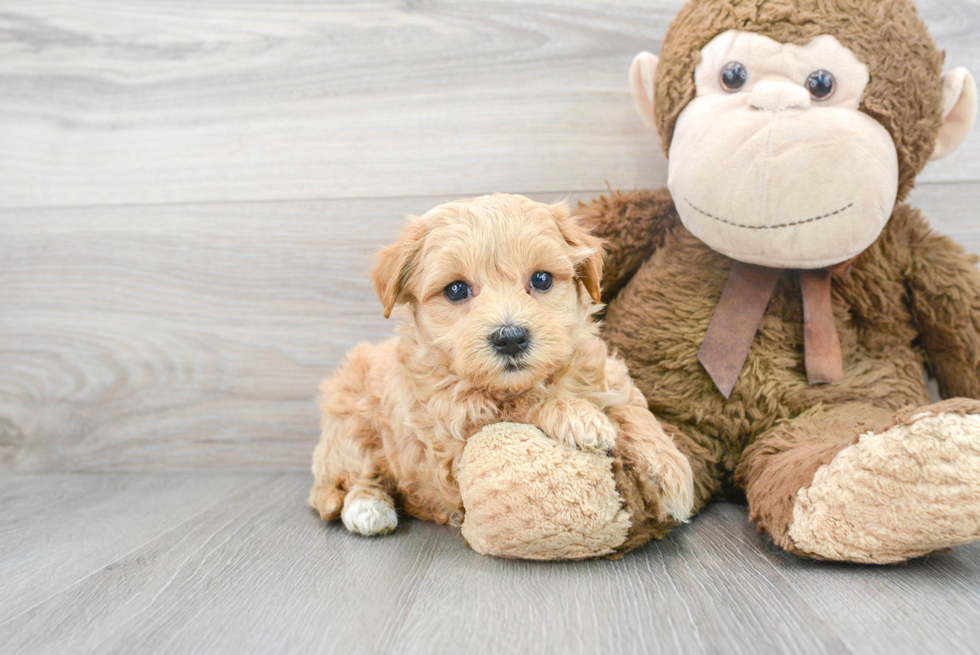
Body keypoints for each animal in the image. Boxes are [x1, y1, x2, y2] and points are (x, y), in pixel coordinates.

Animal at [310, 193, 692, 540]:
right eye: (456, 290)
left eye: (541, 280)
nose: (510, 337)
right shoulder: (453, 436)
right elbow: (515, 404)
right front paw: (575, 414)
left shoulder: (607, 375)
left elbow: (632, 408)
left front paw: (671, 471)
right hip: (349, 422)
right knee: (349, 478)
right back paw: (368, 508)